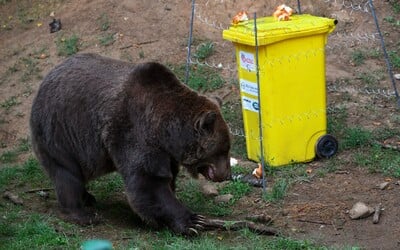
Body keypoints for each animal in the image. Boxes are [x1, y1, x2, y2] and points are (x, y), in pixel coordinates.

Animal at [30, 52, 231, 234]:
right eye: (222, 150)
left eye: (227, 148)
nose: (226, 174)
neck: (165, 131)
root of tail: (45, 80)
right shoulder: (134, 132)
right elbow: (148, 182)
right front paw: (193, 221)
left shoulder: (166, 152)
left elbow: (167, 177)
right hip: (60, 133)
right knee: (67, 175)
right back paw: (82, 214)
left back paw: (88, 198)